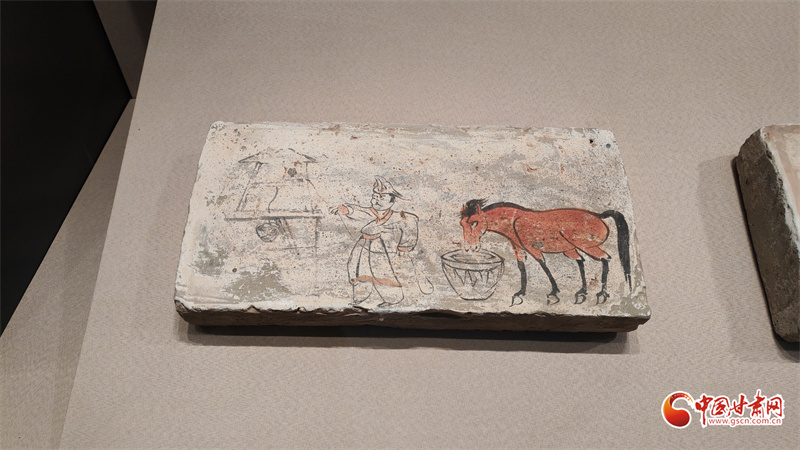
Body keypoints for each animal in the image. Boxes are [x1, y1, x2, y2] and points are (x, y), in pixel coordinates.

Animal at [460, 199, 630, 306]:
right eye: (462, 224)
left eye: (474, 223)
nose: (470, 248)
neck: (513, 219)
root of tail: (598, 215)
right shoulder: (518, 248)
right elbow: (521, 266)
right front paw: (520, 293)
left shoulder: (533, 248)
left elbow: (543, 265)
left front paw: (553, 292)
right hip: (570, 249)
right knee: (581, 261)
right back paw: (582, 292)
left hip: (585, 245)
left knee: (605, 259)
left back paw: (602, 293)